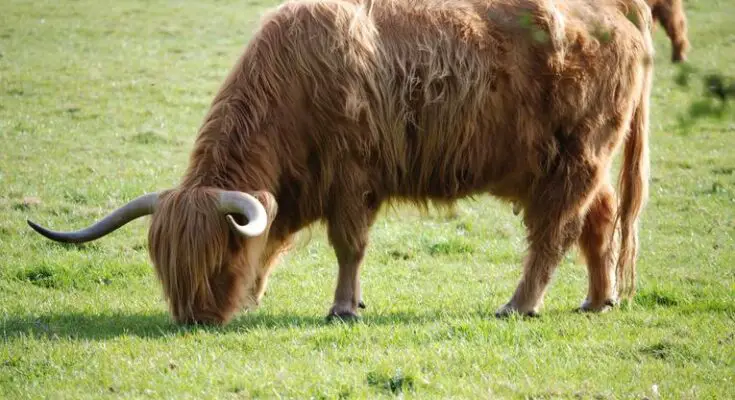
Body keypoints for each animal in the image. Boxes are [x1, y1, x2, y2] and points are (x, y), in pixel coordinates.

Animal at [27, 0, 656, 324]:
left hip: (574, 158)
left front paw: (343, 307)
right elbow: (272, 236)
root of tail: (615, 10)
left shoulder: (353, 177)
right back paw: (598, 299)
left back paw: (519, 305)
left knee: (554, 233)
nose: (195, 319)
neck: (292, 80)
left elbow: (347, 246)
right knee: (599, 222)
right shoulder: (298, 184)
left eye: (215, 257)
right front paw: (254, 296)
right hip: (575, 164)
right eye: (165, 267)